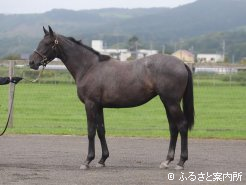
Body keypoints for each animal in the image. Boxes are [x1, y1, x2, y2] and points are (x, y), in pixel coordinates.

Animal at [29, 26, 194, 171]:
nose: (32, 62)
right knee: (173, 128)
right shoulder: (99, 106)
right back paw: (167, 161)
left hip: (171, 103)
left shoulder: (90, 104)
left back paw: (181, 162)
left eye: (47, 43)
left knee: (182, 126)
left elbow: (91, 131)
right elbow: (101, 130)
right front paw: (102, 160)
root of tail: (182, 63)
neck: (89, 67)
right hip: (167, 103)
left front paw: (87, 161)